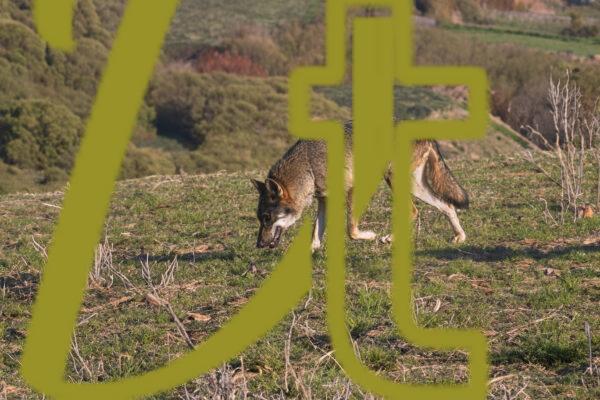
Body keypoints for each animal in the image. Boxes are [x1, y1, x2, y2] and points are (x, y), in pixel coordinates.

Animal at [251, 120, 466, 250]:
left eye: (267, 217)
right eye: (261, 219)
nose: (259, 244)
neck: (308, 167)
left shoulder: (353, 189)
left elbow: (351, 230)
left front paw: (370, 236)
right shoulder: (325, 200)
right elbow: (315, 236)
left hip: (395, 179)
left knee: (414, 211)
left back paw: (389, 238)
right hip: (414, 186)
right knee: (447, 205)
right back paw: (460, 237)